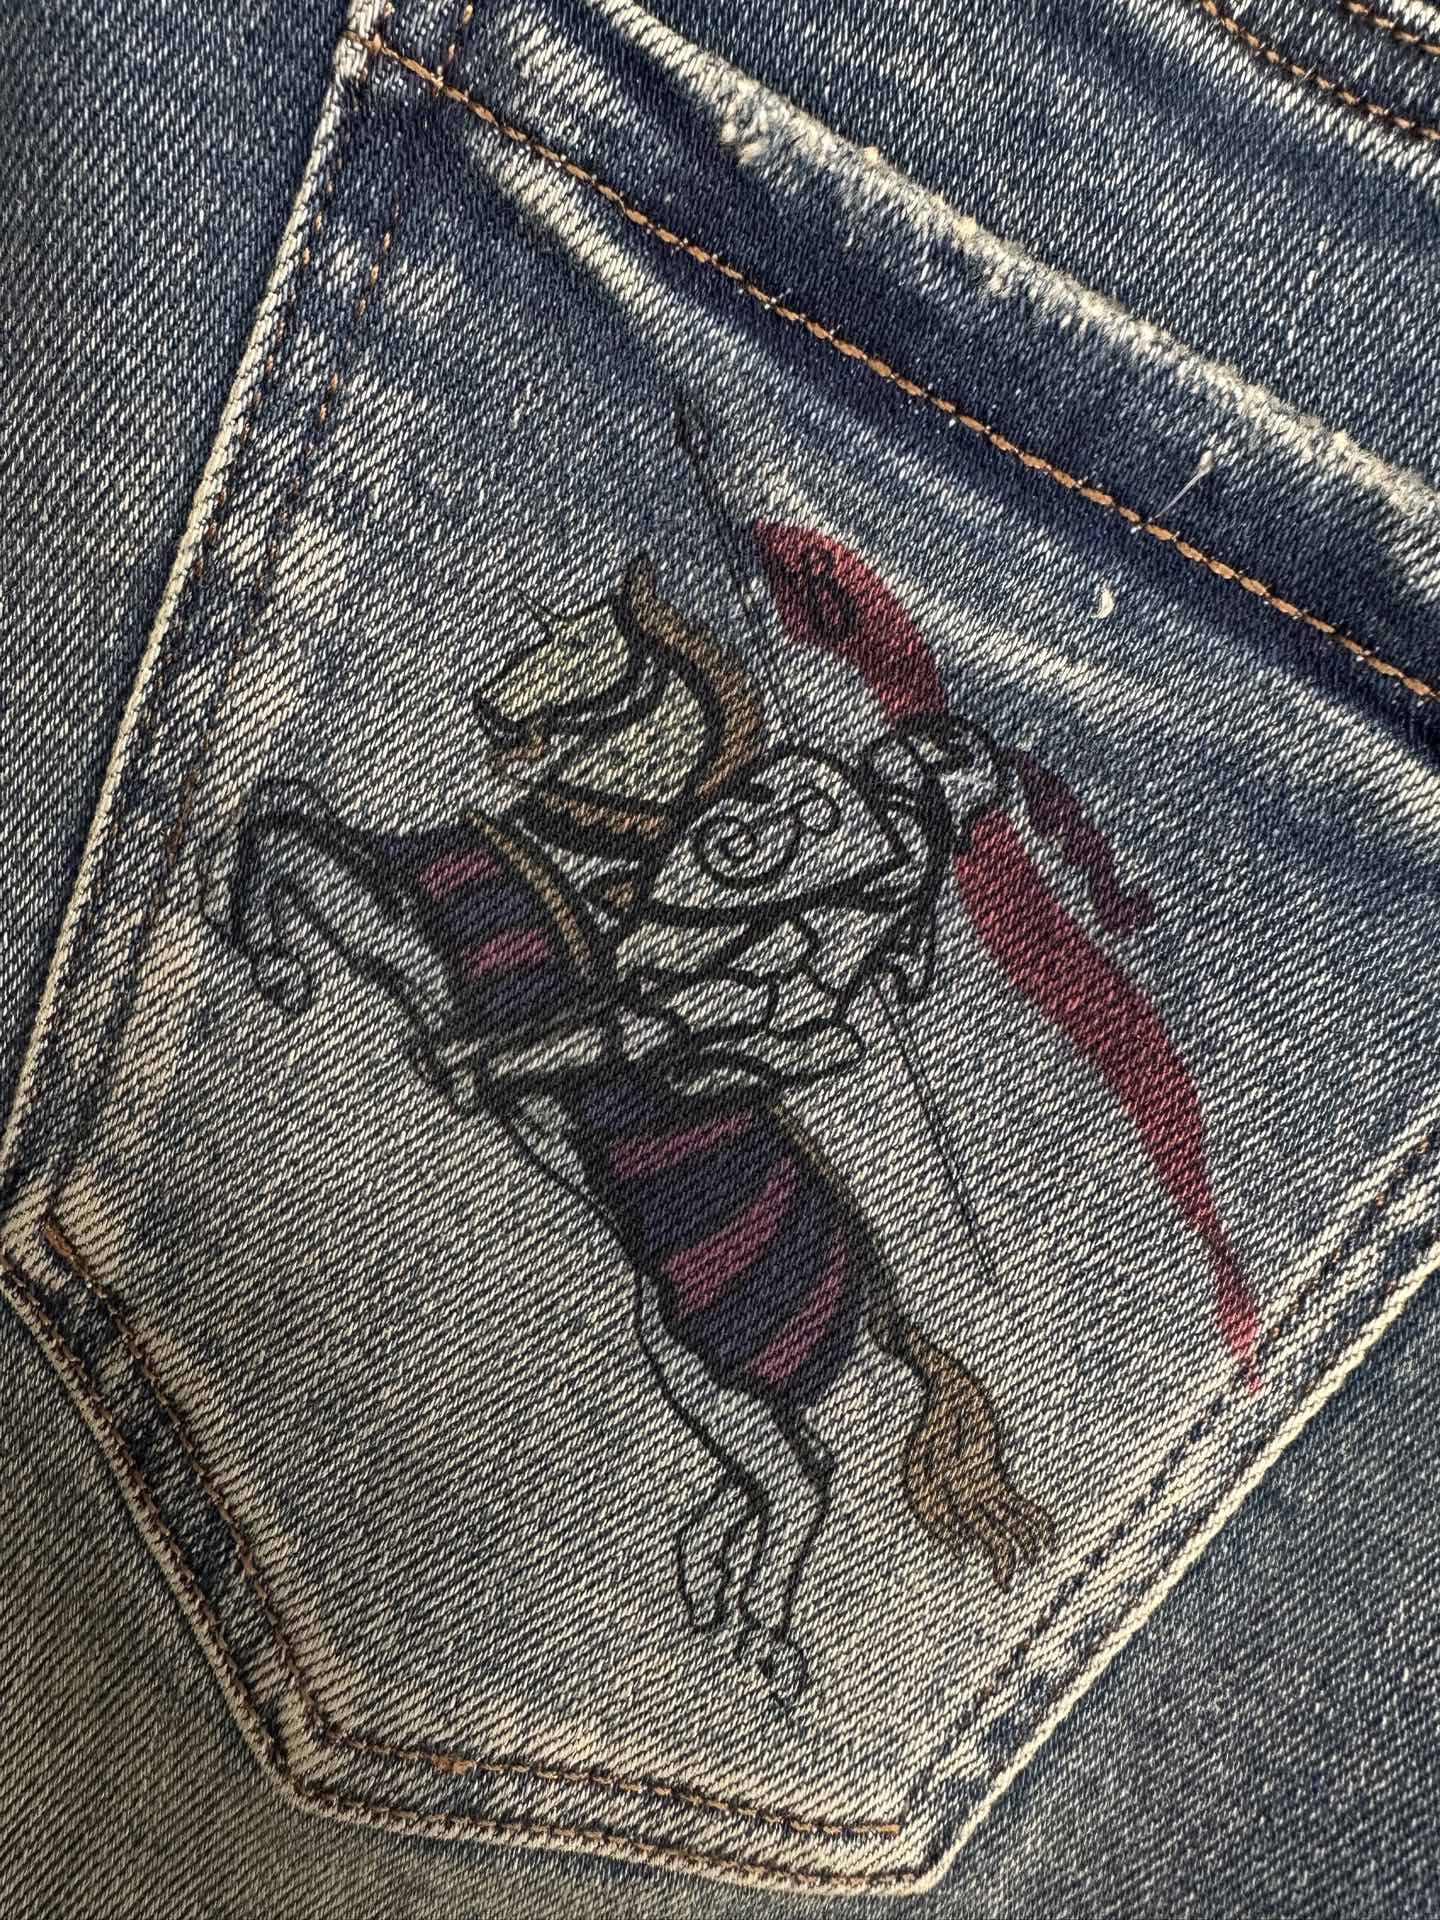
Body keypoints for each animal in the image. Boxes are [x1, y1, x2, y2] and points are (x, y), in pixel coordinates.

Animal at [198, 556, 1051, 1702]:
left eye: (578, 644)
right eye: (544, 629)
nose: (489, 707)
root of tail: (879, 1300)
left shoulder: (411, 926)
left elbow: (288, 838)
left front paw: (275, 956)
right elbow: (284, 807)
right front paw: (257, 927)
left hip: (717, 1365)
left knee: (802, 1481)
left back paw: (763, 1633)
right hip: (698, 1369)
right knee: (782, 1474)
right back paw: (713, 1576)